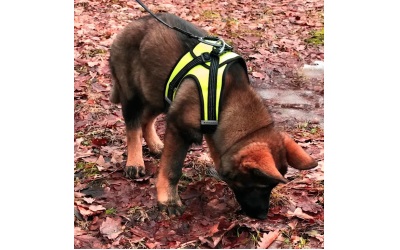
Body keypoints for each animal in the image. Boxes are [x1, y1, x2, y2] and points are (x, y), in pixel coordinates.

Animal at [108, 13, 318, 219]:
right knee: (133, 126)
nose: (262, 216)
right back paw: (135, 162)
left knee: (146, 119)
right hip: (133, 95)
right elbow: (172, 169)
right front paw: (168, 201)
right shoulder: (179, 128)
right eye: (260, 186)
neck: (225, 100)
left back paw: (155, 145)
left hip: (158, 92)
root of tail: (132, 24)